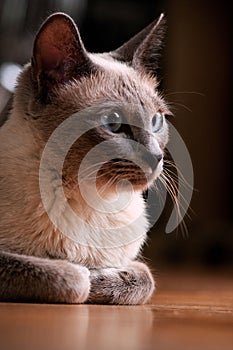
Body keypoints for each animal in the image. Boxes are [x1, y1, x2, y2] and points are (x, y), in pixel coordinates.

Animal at [0, 13, 170, 304]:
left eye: (156, 121)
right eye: (113, 124)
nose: (156, 157)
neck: (94, 199)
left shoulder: (134, 264)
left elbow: (144, 277)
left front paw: (101, 279)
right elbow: (74, 279)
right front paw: (86, 275)